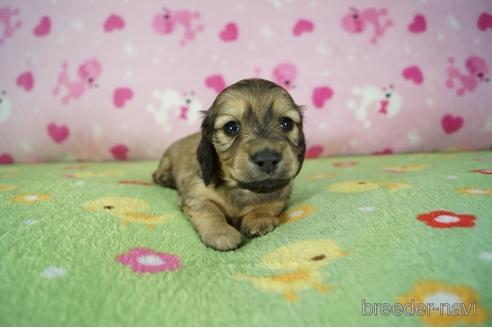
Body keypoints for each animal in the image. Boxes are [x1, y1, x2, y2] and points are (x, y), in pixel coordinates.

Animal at [152, 77, 306, 251]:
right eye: (231, 127)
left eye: (286, 123)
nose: (267, 158)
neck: (242, 189)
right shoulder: (197, 195)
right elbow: (210, 210)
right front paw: (220, 232)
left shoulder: (281, 196)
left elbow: (268, 204)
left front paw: (258, 218)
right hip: (168, 157)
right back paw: (164, 177)